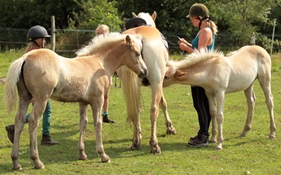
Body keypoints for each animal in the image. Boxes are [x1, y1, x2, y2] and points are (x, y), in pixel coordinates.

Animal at [5, 32, 148, 170]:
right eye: (137, 53)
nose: (145, 72)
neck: (99, 62)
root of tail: (25, 58)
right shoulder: (98, 100)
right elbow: (98, 124)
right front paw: (103, 155)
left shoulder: (83, 102)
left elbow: (83, 123)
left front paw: (82, 154)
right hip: (41, 99)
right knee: (33, 120)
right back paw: (37, 161)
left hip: (25, 97)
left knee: (19, 120)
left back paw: (16, 162)